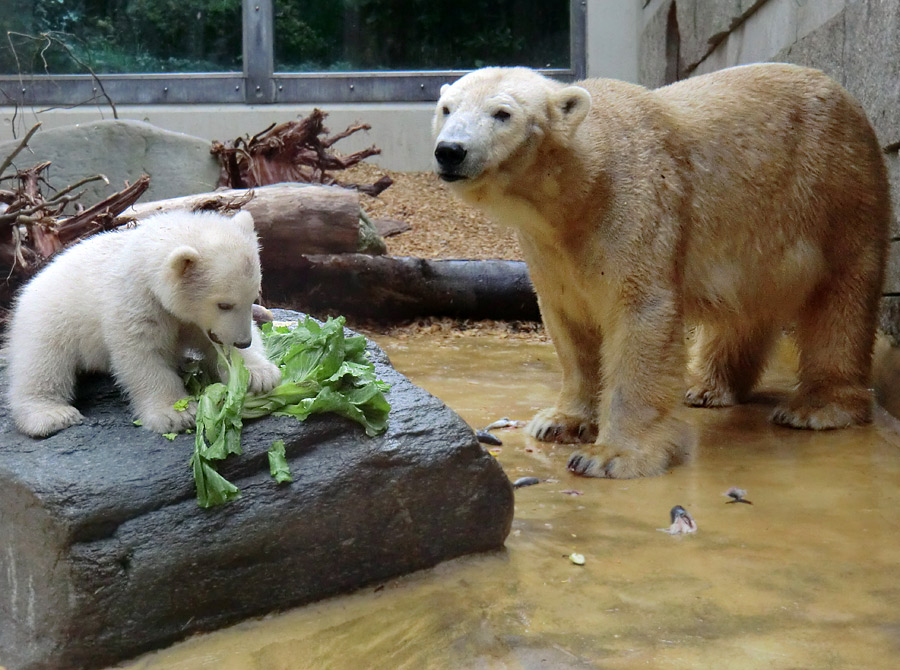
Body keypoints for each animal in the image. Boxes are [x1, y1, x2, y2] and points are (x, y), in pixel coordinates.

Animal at [432, 64, 888, 478]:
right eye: (446, 108)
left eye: (502, 113)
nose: (450, 150)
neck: (582, 188)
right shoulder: (548, 246)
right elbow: (570, 319)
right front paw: (559, 422)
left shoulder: (637, 203)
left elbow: (640, 315)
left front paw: (611, 456)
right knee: (745, 306)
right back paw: (706, 386)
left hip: (836, 193)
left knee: (841, 298)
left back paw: (817, 408)